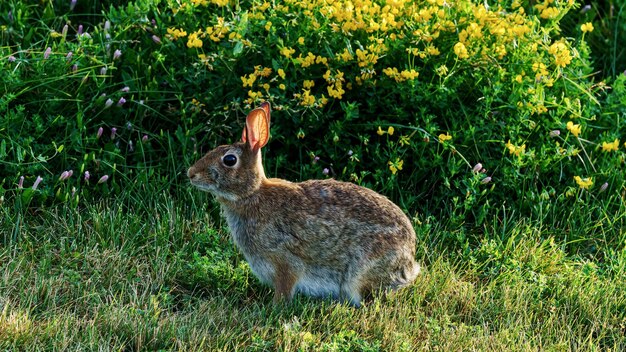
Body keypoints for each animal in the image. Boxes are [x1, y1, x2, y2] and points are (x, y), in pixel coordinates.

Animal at [186, 101, 420, 306]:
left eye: (229, 160)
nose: (191, 174)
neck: (252, 194)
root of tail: (408, 262)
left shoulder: (285, 263)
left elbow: (285, 288)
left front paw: (275, 307)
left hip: (359, 272)